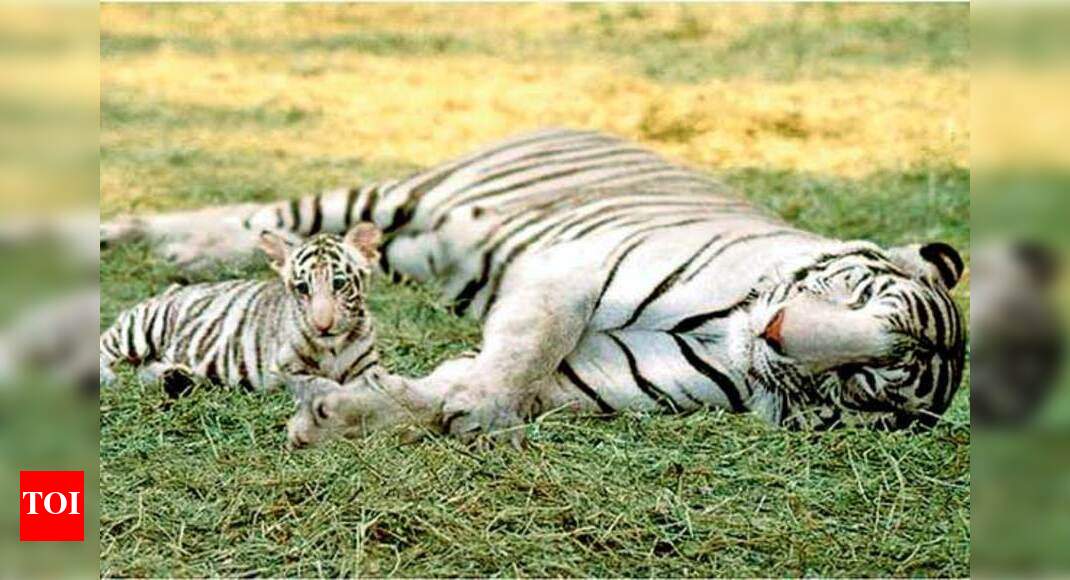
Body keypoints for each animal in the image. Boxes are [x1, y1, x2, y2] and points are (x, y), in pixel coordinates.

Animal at [99, 224, 384, 396]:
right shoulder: (286, 372)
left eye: (339, 284)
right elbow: (324, 385)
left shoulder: (368, 366)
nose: (322, 326)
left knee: (145, 369)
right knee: (106, 347)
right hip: (141, 330)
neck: (332, 348)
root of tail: (170, 289)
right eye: (302, 288)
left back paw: (175, 379)